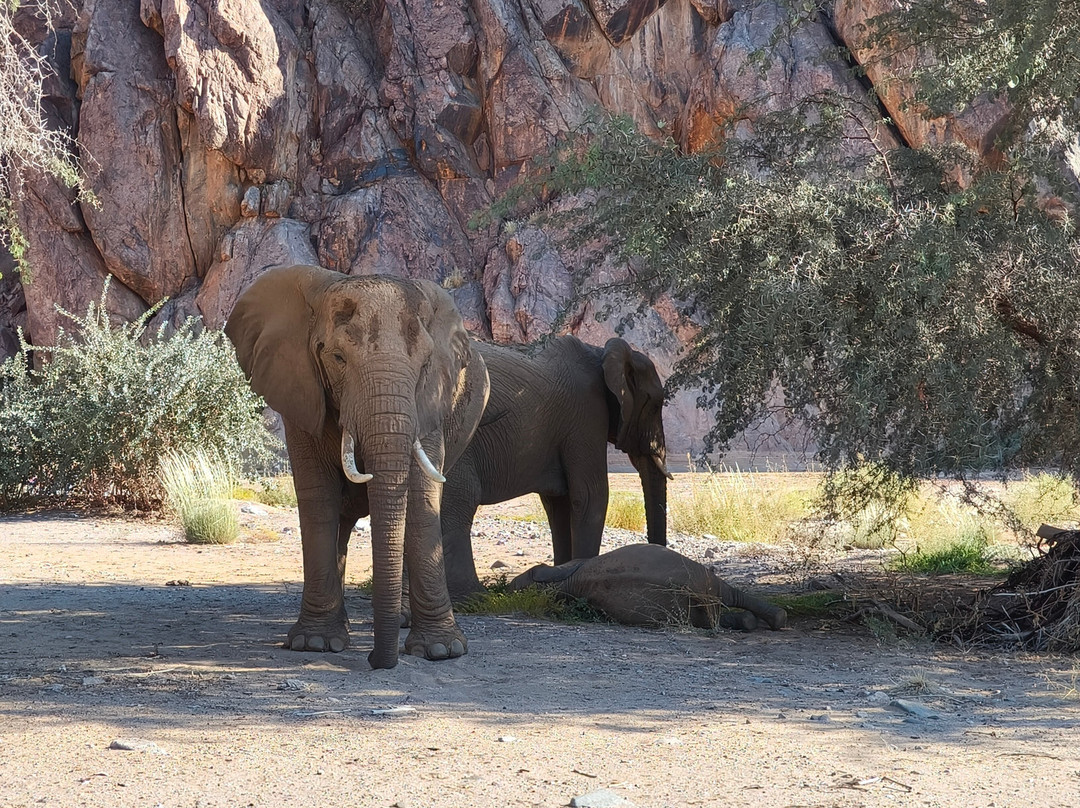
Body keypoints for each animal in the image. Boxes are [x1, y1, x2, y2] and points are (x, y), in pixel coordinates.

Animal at [225, 265, 489, 669]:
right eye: (337, 358)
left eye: (424, 365)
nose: (374, 660)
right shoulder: (300, 391)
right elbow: (318, 495)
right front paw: (315, 643)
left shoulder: (429, 403)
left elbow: (421, 496)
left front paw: (441, 651)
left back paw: (400, 619)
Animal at [441, 335, 671, 601]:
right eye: (656, 404)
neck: (602, 353)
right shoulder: (586, 415)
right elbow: (590, 495)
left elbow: (558, 504)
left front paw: (560, 575)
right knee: (461, 501)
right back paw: (472, 598)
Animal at [508, 544, 789, 632]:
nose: (506, 589)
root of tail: (692, 587)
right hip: (695, 584)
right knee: (722, 607)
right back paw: (764, 620)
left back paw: (774, 619)